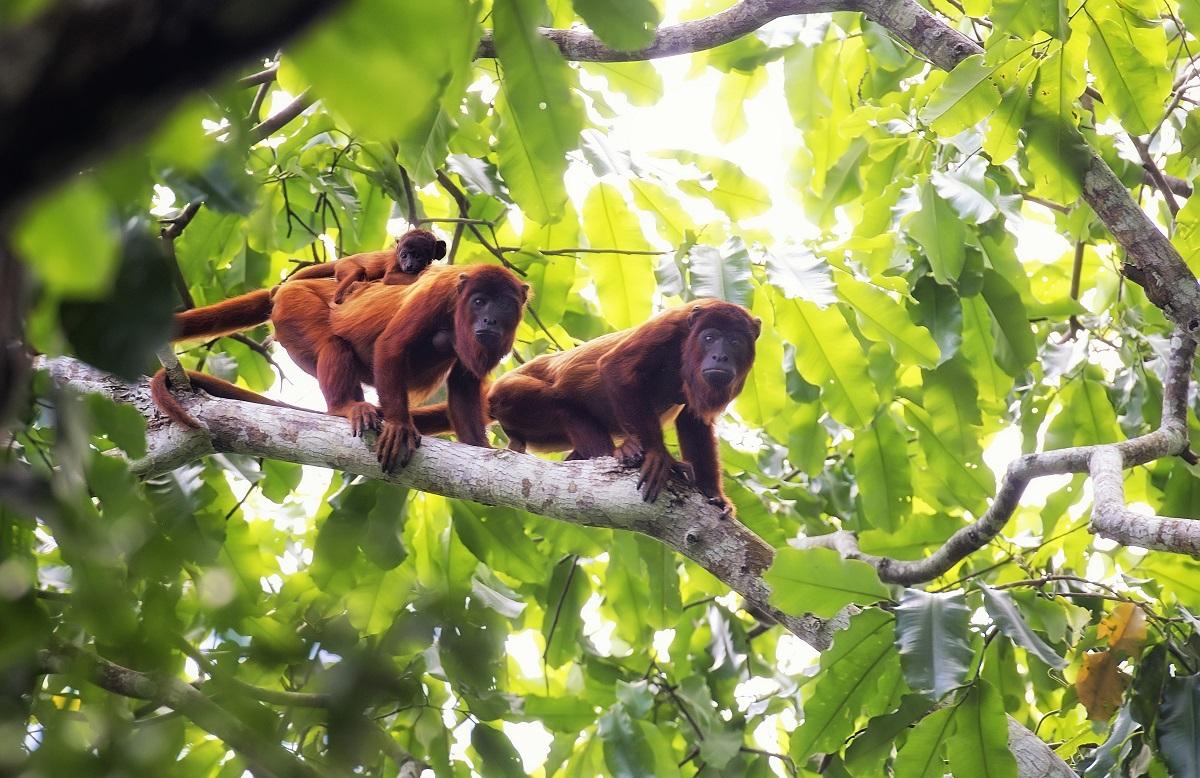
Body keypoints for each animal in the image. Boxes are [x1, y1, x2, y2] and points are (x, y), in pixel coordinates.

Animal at [285, 228, 446, 303]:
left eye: (418, 256)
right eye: (404, 256)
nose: (409, 265)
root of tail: (343, 259)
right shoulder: (395, 261)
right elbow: (389, 277)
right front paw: (425, 273)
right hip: (345, 266)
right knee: (357, 271)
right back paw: (341, 296)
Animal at [412, 302, 758, 511]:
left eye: (736, 342)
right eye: (710, 337)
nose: (720, 356)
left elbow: (694, 420)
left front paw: (714, 495)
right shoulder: (670, 327)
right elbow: (616, 368)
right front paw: (661, 457)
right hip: (512, 395)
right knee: (562, 403)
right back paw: (622, 452)